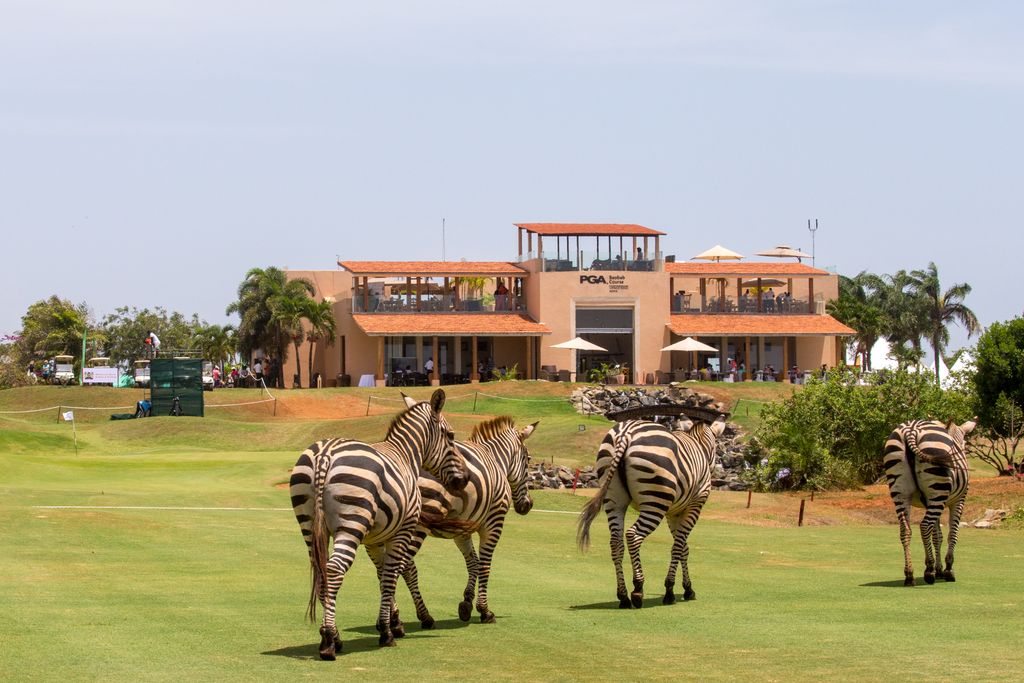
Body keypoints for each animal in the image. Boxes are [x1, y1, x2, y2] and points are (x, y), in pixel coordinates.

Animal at [289, 389, 468, 659]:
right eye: (451, 435)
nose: (465, 479)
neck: (405, 455)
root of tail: (325, 454)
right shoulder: (403, 530)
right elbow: (392, 574)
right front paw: (387, 631)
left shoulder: (374, 539)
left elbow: (383, 574)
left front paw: (393, 622)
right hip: (351, 522)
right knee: (335, 569)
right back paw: (329, 640)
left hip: (308, 524)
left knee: (321, 571)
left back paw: (335, 636)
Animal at [397, 411, 539, 626]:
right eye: (528, 459)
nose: (527, 505)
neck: (495, 459)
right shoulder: (493, 523)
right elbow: (485, 565)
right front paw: (484, 610)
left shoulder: (462, 530)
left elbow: (473, 563)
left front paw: (466, 604)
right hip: (417, 525)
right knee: (403, 566)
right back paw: (418, 617)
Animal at [578, 417, 726, 608]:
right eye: (717, 449)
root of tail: (625, 433)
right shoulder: (694, 506)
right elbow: (678, 547)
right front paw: (670, 590)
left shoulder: (674, 513)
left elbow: (683, 548)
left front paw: (688, 588)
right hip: (655, 501)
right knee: (633, 535)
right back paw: (637, 589)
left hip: (613, 498)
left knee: (616, 542)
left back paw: (623, 596)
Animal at [883, 418, 976, 586]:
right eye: (964, 444)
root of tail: (911, 430)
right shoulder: (959, 500)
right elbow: (952, 534)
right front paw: (947, 569)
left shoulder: (930, 502)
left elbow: (937, 536)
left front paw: (939, 570)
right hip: (937, 490)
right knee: (925, 526)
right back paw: (929, 572)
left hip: (900, 492)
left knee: (905, 530)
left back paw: (909, 574)